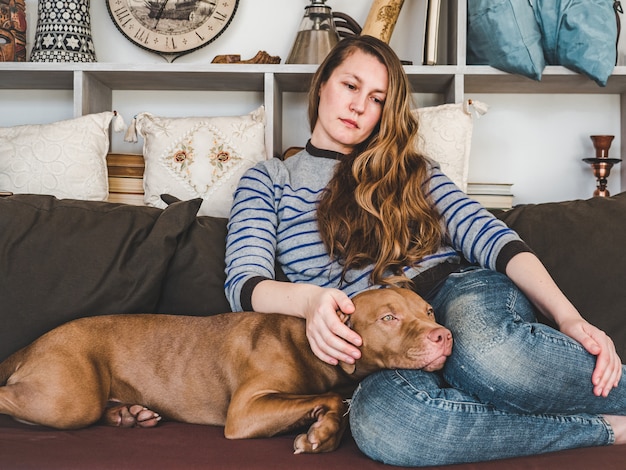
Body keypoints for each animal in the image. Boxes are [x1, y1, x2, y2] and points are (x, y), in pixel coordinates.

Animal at [0, 288, 450, 454]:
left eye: (428, 310)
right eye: (389, 318)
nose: (443, 336)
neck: (311, 345)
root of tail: (32, 344)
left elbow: (335, 399)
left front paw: (322, 433)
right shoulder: (247, 411)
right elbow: (331, 396)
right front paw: (320, 430)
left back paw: (130, 414)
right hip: (70, 399)